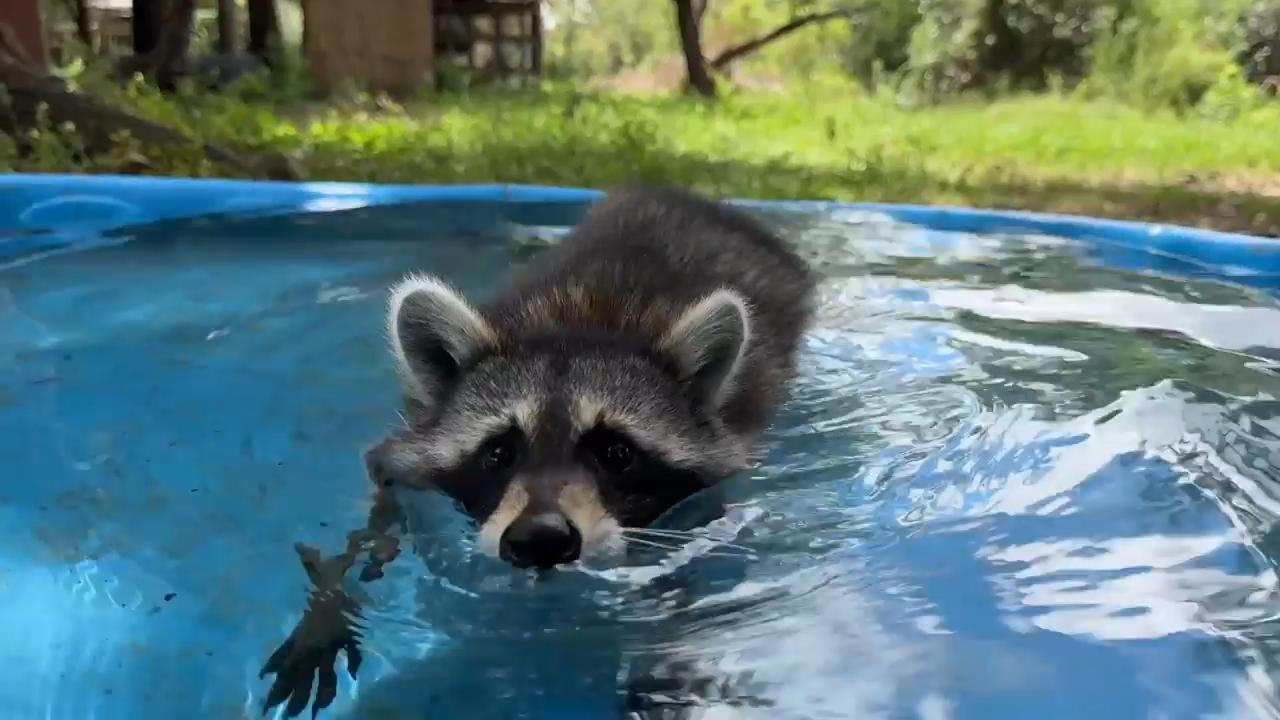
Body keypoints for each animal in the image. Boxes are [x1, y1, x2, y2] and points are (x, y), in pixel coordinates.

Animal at [257, 185, 816, 717]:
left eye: (616, 453)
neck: (585, 325)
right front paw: (328, 607)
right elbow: (377, 513)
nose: (540, 539)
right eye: (498, 453)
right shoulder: (413, 444)